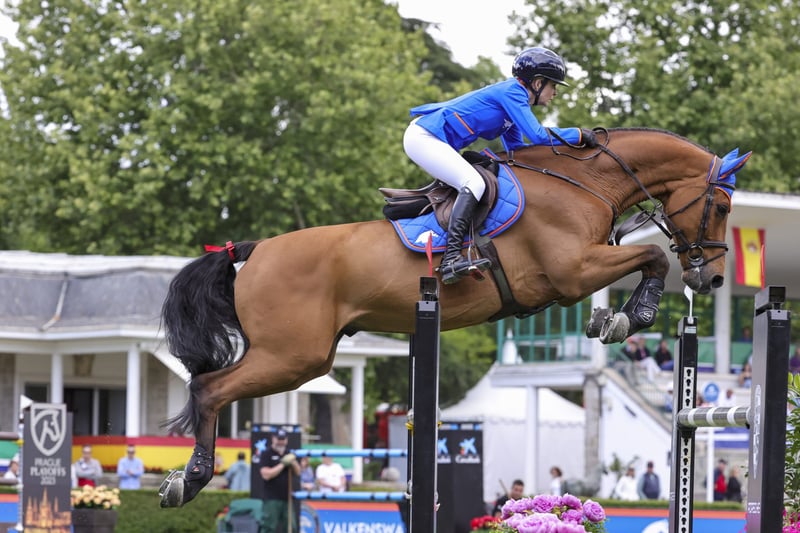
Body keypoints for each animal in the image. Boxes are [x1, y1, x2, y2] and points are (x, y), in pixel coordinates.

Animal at [158, 128, 750, 507]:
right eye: (721, 207)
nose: (713, 281)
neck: (583, 183)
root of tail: (252, 251)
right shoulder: (573, 271)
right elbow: (651, 256)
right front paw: (631, 316)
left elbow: (645, 259)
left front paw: (615, 319)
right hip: (293, 357)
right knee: (209, 389)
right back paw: (189, 481)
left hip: (303, 356)